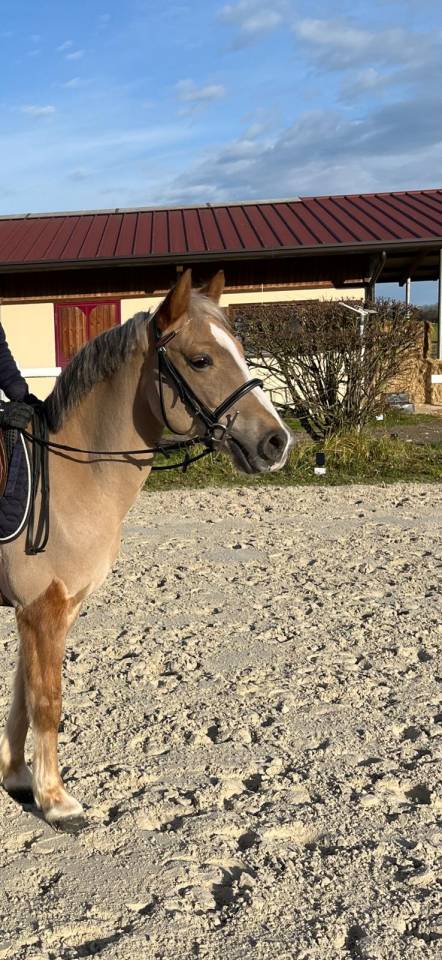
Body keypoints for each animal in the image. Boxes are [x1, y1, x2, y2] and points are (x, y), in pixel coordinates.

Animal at [0, 269, 293, 831]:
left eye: (242, 350)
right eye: (201, 360)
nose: (276, 441)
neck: (70, 475)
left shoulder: (42, 612)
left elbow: (24, 697)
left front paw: (19, 779)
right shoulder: (43, 610)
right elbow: (47, 701)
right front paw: (57, 801)